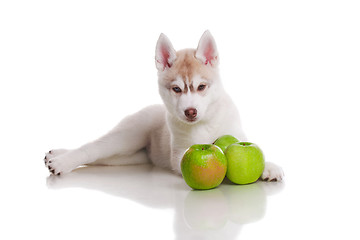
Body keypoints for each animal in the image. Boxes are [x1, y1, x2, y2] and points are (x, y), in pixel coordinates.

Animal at [43, 30, 284, 181]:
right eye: (176, 89)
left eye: (201, 87)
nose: (190, 112)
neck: (205, 122)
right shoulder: (179, 154)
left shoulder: (236, 133)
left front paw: (270, 167)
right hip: (127, 135)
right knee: (92, 148)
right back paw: (61, 162)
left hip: (130, 155)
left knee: (101, 157)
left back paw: (55, 154)